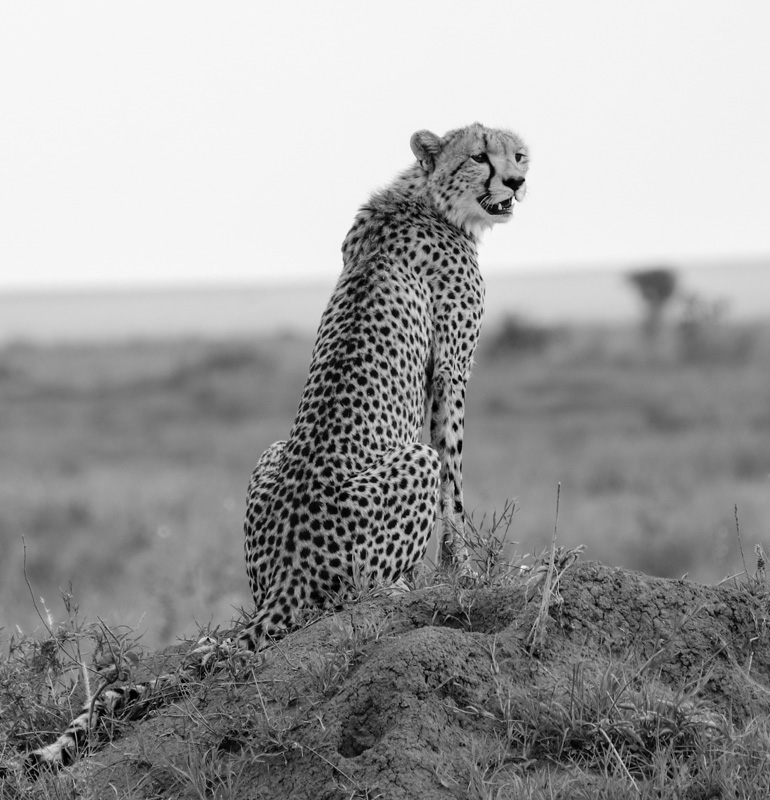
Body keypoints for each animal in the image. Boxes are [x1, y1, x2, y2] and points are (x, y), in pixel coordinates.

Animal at [240, 122, 529, 651]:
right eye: (479, 157)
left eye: (518, 156)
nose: (516, 182)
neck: (429, 200)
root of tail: (285, 573)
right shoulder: (452, 367)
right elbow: (453, 481)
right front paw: (463, 572)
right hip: (414, 461)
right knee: (352, 592)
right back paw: (392, 588)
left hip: (271, 453)